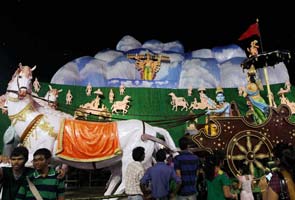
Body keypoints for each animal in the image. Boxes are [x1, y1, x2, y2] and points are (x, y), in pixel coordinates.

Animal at [5, 64, 178, 197]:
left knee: (127, 181)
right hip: (126, 160)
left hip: (132, 159)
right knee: (120, 178)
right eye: (19, 77)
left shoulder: (34, 157)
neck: (35, 118)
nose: (22, 92)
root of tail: (150, 128)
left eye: (30, 79)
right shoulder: (51, 162)